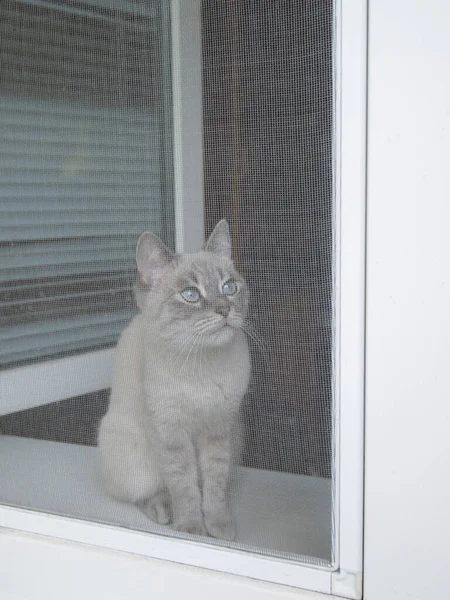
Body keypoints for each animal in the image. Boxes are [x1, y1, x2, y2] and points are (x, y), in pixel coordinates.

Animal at [97, 220, 250, 540]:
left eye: (228, 288)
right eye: (191, 294)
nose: (224, 310)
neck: (201, 364)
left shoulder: (218, 428)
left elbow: (213, 485)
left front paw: (219, 526)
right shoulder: (171, 434)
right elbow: (184, 486)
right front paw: (191, 529)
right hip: (134, 460)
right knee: (145, 492)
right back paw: (163, 511)